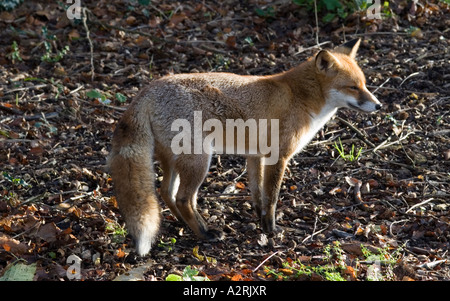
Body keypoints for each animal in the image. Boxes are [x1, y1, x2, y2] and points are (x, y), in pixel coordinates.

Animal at [108, 37, 380, 253]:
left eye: (365, 84)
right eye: (353, 87)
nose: (378, 105)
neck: (299, 96)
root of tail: (147, 90)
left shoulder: (255, 156)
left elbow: (258, 195)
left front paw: (260, 222)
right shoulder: (278, 157)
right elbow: (271, 198)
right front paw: (271, 230)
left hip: (175, 159)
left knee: (166, 193)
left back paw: (185, 224)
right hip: (199, 160)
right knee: (184, 198)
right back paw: (205, 233)